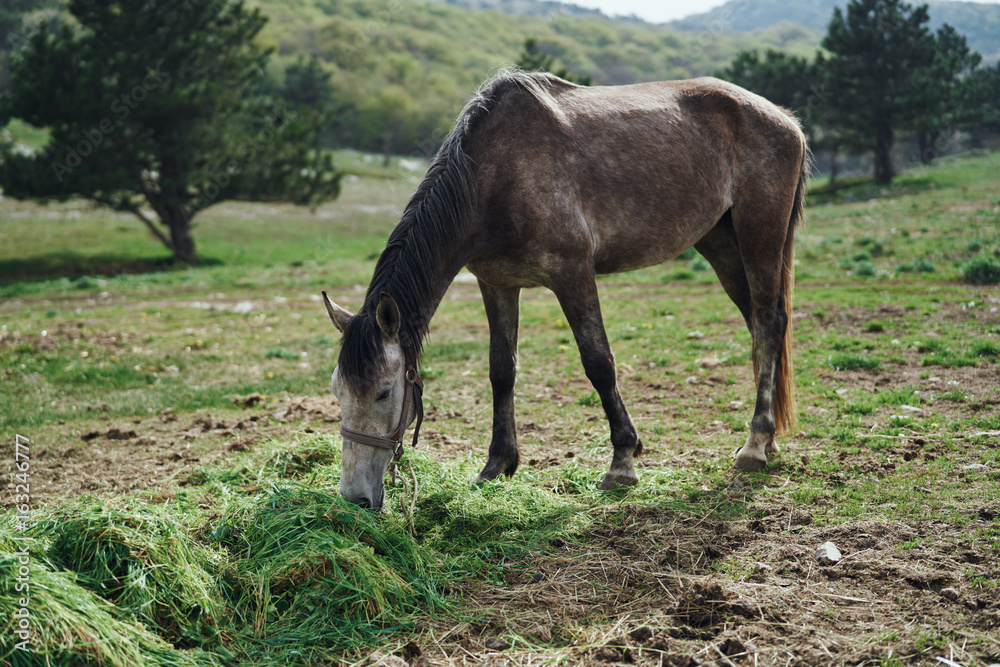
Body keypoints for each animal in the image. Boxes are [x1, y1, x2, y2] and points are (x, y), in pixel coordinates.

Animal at [323, 69, 808, 509]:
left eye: (385, 392)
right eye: (338, 391)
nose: (354, 497)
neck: (494, 177)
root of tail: (786, 119)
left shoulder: (572, 275)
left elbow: (599, 363)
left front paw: (622, 462)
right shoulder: (496, 283)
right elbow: (502, 370)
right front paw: (497, 464)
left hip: (758, 234)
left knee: (768, 323)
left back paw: (754, 445)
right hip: (720, 241)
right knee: (760, 324)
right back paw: (768, 439)